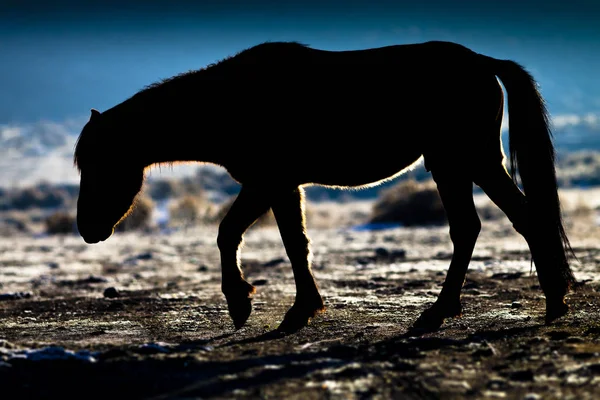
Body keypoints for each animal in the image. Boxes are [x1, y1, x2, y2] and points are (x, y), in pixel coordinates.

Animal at [74, 40, 576, 334]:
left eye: (99, 164)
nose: (87, 229)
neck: (232, 100)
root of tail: (481, 63)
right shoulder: (278, 185)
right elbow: (282, 240)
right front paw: (290, 306)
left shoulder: (268, 182)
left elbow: (247, 236)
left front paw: (253, 303)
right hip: (459, 165)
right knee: (480, 226)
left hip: (464, 162)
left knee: (503, 222)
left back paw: (534, 302)